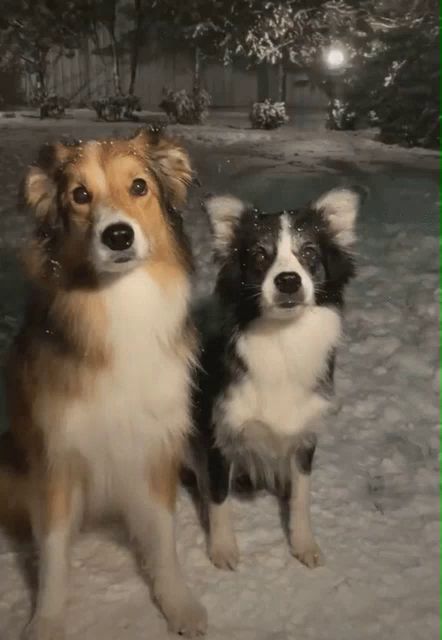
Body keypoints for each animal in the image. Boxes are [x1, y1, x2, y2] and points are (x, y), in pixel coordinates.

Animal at [0, 127, 207, 636]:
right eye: (79, 195)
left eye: (139, 187)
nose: (117, 235)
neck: (120, 303)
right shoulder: (55, 457)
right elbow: (54, 553)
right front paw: (47, 620)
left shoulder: (156, 447)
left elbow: (163, 539)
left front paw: (176, 603)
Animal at [193, 188, 362, 572]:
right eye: (259, 255)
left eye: (309, 253)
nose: (288, 280)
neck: (283, 340)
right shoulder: (218, 433)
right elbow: (218, 498)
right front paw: (222, 548)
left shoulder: (304, 435)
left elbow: (301, 497)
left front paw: (303, 544)